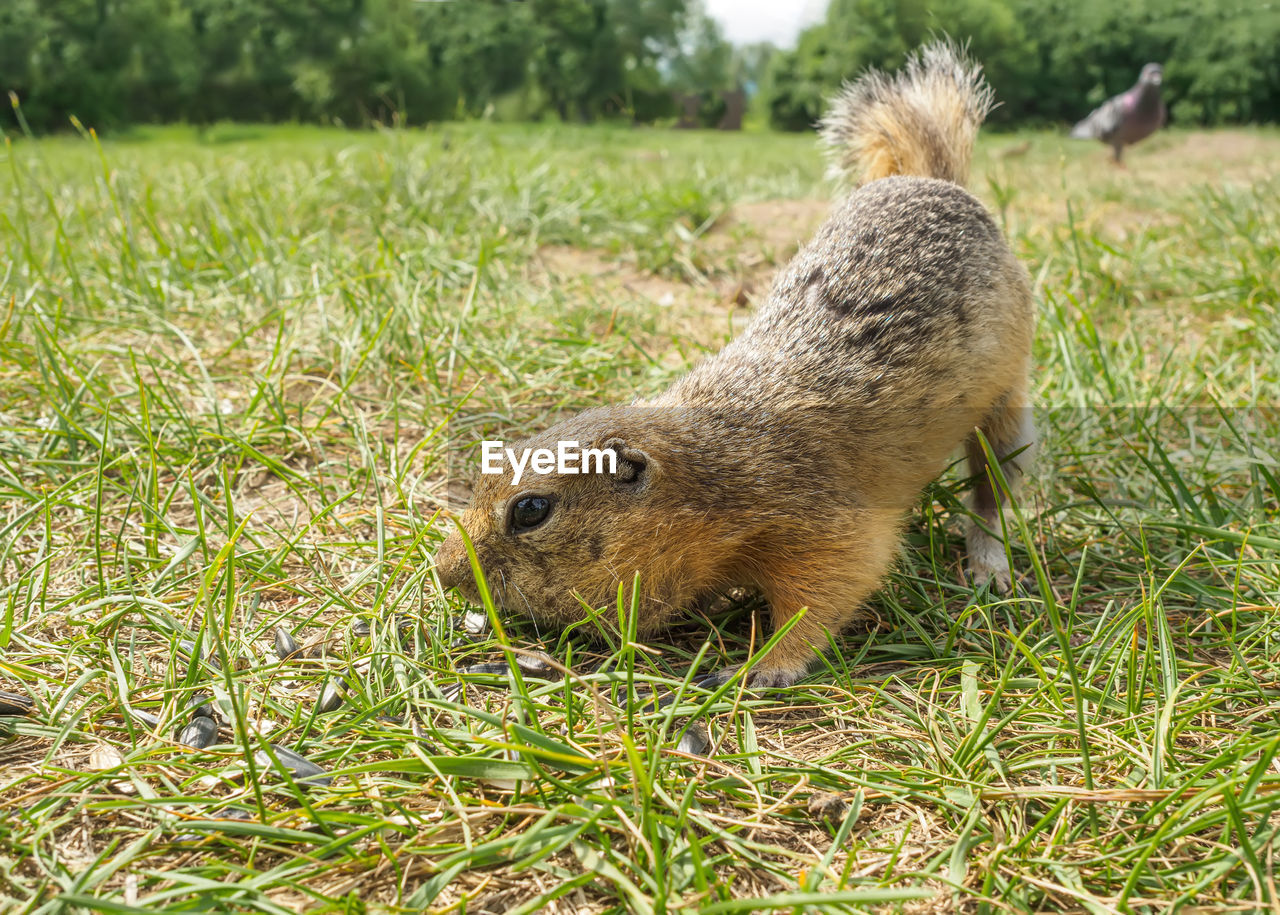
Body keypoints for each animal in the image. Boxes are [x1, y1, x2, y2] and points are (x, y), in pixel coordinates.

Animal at [435, 42, 1034, 685]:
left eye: (531, 511)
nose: (442, 571)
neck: (715, 470)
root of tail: (930, 178)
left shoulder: (822, 526)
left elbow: (826, 596)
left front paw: (758, 669)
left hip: (1007, 402)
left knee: (993, 490)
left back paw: (988, 564)